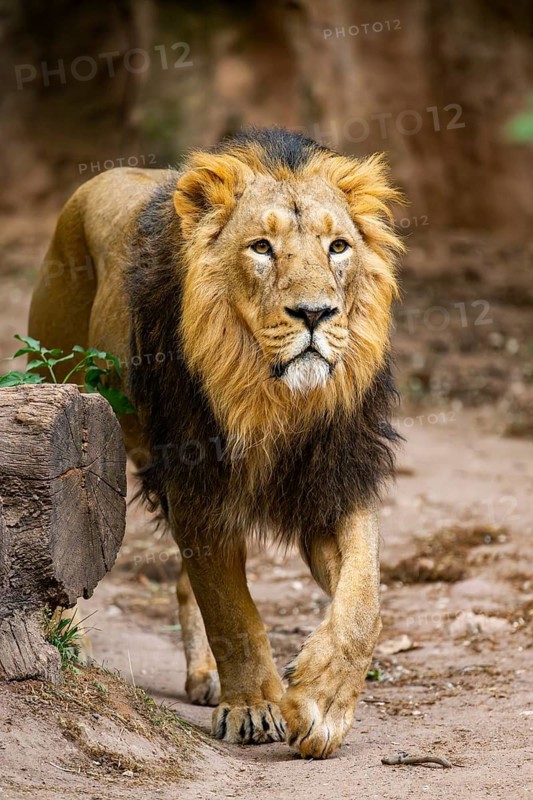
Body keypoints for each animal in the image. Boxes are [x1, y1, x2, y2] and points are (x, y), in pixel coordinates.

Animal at [29, 127, 404, 759]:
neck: (271, 397)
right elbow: (232, 610)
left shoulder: (333, 477)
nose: (315, 313)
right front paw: (253, 707)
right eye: (261, 247)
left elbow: (364, 602)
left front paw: (323, 702)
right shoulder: (196, 481)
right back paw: (67, 637)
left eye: (338, 247)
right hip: (61, 391)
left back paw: (204, 675)